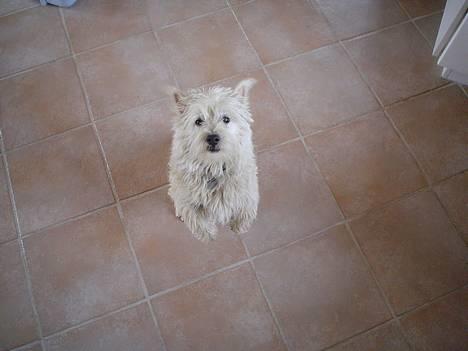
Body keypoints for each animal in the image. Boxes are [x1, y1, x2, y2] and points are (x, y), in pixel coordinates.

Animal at [167, 79, 258, 242]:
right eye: (198, 121)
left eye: (226, 119)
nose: (213, 138)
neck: (214, 166)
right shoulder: (187, 198)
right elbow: (194, 217)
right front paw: (208, 235)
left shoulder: (249, 191)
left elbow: (246, 208)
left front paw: (239, 227)